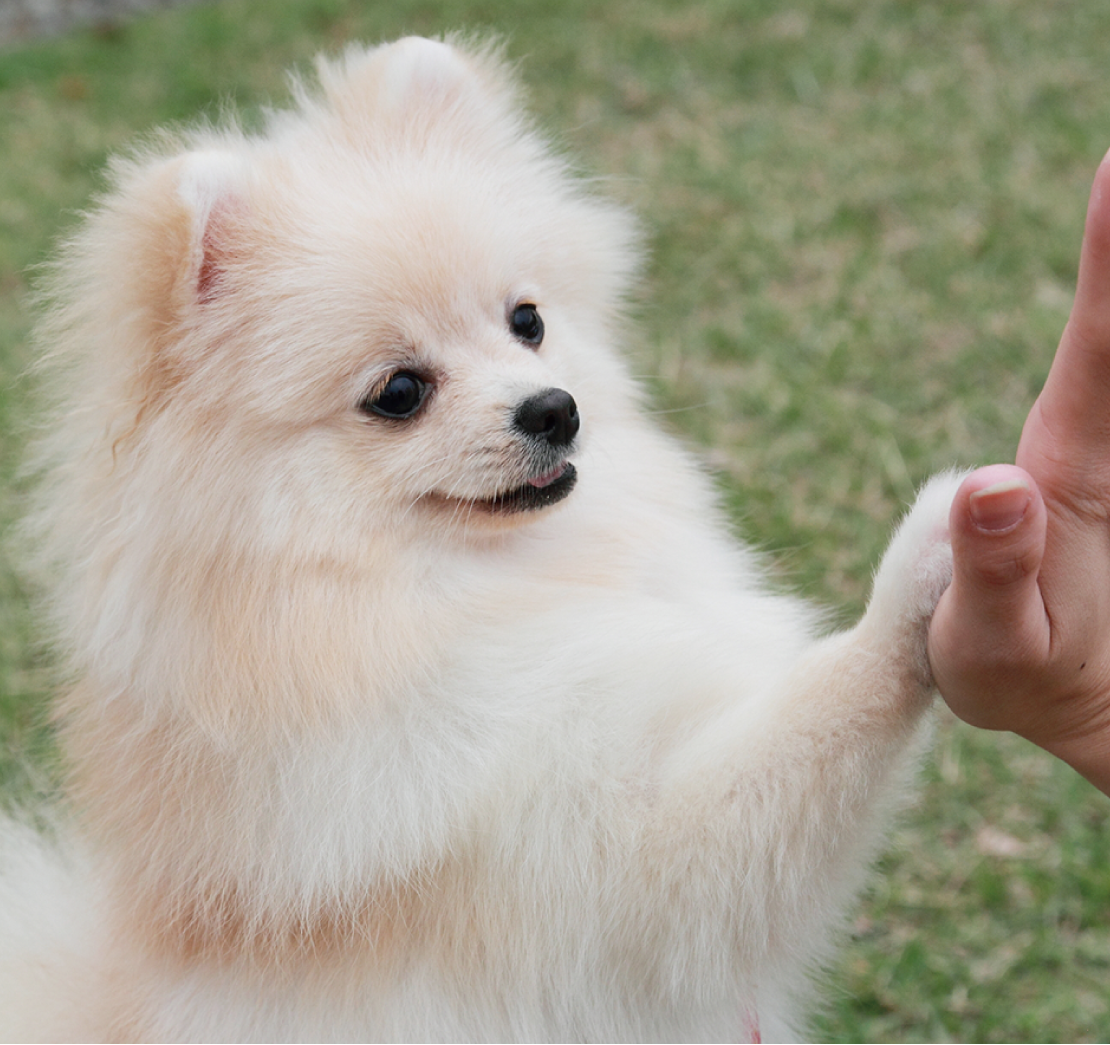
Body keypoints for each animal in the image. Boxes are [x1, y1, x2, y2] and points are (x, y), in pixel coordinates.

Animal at [0, 34, 959, 1043]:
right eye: (399, 392)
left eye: (526, 321)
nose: (553, 408)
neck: (487, 578)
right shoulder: (606, 860)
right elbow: (815, 727)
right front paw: (930, 555)